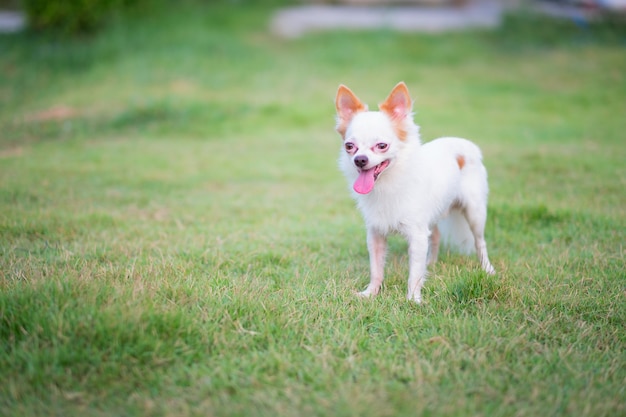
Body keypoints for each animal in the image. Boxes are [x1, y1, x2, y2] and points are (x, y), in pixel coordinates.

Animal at [334, 81, 494, 302]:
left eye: (382, 146)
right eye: (350, 146)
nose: (360, 159)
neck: (387, 183)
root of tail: (465, 143)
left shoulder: (417, 235)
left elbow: (414, 274)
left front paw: (413, 300)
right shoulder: (376, 234)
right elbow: (376, 269)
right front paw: (370, 293)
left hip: (475, 213)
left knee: (480, 242)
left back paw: (487, 269)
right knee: (435, 236)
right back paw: (431, 263)